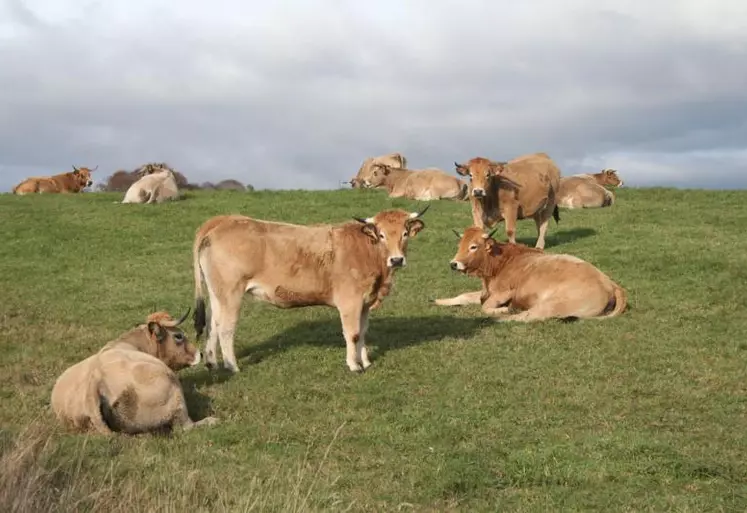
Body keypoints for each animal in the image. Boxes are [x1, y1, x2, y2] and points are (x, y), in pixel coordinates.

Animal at [50, 310, 216, 434]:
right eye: (178, 336)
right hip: (175, 395)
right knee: (185, 426)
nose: (200, 354)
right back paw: (211, 420)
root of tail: (95, 381)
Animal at [190, 207, 430, 372]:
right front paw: (354, 365)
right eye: (381, 235)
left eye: (405, 233)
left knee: (212, 324)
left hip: (218, 294)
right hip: (231, 294)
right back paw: (232, 366)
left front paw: (366, 362)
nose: (396, 259)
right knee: (225, 329)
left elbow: (362, 333)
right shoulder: (350, 302)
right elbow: (351, 333)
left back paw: (212, 363)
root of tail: (224, 220)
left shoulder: (364, 303)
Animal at [436, 227, 628, 320]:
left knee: (526, 317)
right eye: (459, 245)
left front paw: (502, 309)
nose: (453, 264)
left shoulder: (503, 292)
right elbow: (464, 296)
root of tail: (610, 283)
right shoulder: (486, 292)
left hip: (552, 304)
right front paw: (439, 301)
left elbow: (485, 307)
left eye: (473, 246)